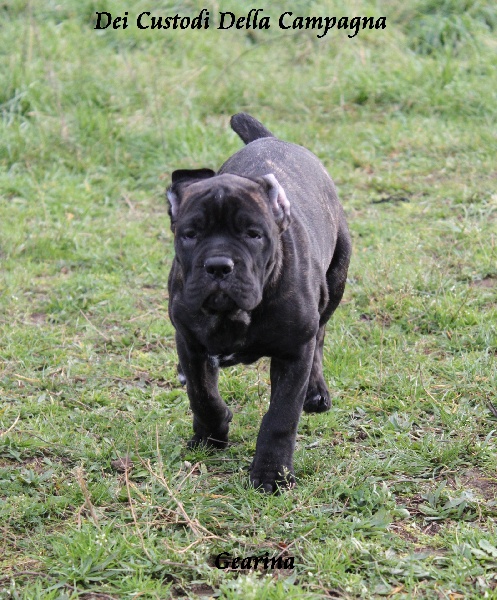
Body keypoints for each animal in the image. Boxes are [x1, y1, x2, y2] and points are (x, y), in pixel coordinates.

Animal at [166, 113, 348, 492]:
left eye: (253, 234)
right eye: (190, 235)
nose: (219, 265)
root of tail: (271, 139)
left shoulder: (294, 352)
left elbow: (281, 416)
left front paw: (271, 474)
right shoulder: (190, 341)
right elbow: (202, 396)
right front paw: (211, 436)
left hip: (336, 279)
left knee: (321, 335)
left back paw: (316, 392)